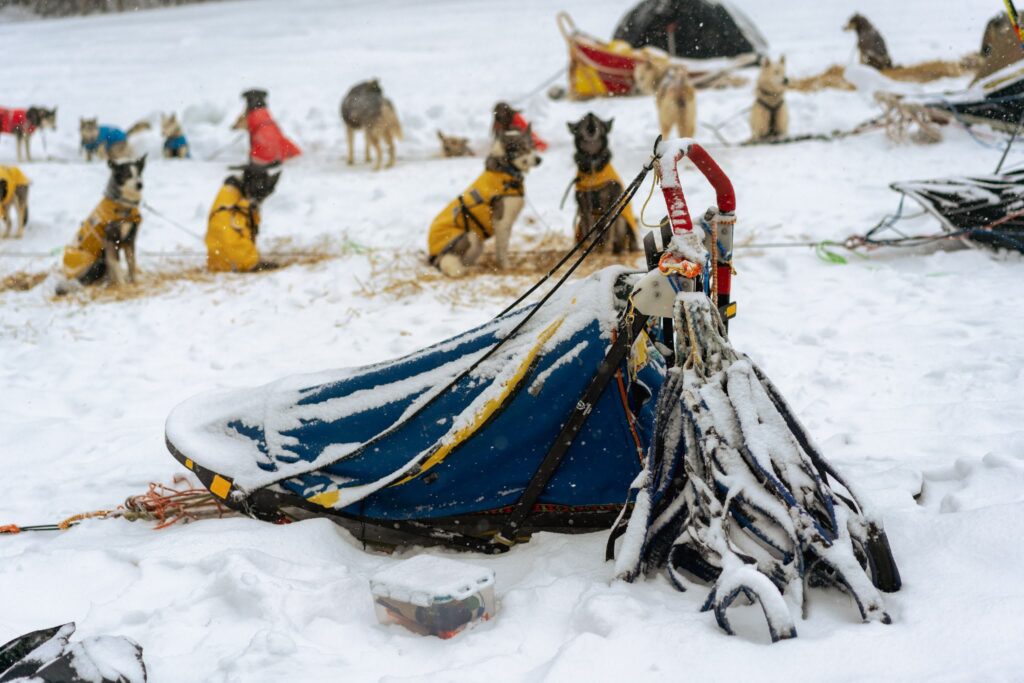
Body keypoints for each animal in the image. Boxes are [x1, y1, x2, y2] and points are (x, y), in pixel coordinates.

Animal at [60, 157, 146, 290]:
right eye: (127, 174)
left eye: (139, 174)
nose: (140, 184)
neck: (123, 205)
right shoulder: (112, 241)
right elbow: (117, 266)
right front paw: (123, 285)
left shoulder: (129, 239)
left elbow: (131, 263)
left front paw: (134, 282)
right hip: (96, 261)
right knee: (87, 280)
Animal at [428, 127, 544, 278]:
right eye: (523, 148)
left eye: (533, 146)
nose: (539, 159)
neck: (506, 169)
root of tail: (432, 255)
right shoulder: (502, 221)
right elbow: (502, 249)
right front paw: (506, 267)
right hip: (469, 236)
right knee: (447, 263)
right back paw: (461, 270)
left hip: (477, 243)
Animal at [573, 113, 634, 254]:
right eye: (584, 119)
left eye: (596, 119)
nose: (590, 114)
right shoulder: (584, 204)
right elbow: (590, 231)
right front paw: (591, 249)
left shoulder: (610, 202)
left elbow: (609, 230)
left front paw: (607, 250)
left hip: (621, 220)